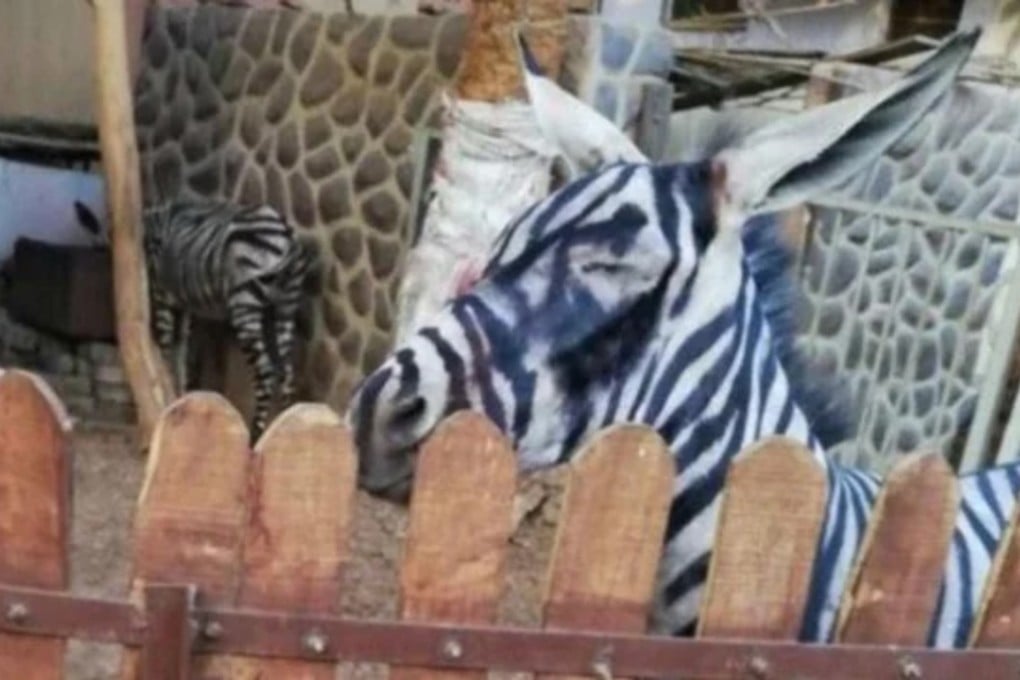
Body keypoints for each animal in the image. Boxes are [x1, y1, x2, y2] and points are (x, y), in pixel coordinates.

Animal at [142, 198, 313, 442]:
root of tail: (286, 233)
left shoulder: (162, 294)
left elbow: (167, 350)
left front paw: (168, 400)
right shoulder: (186, 305)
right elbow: (182, 353)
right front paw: (180, 397)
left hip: (245, 304)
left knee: (266, 372)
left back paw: (255, 434)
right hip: (286, 305)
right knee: (287, 373)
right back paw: (287, 427)